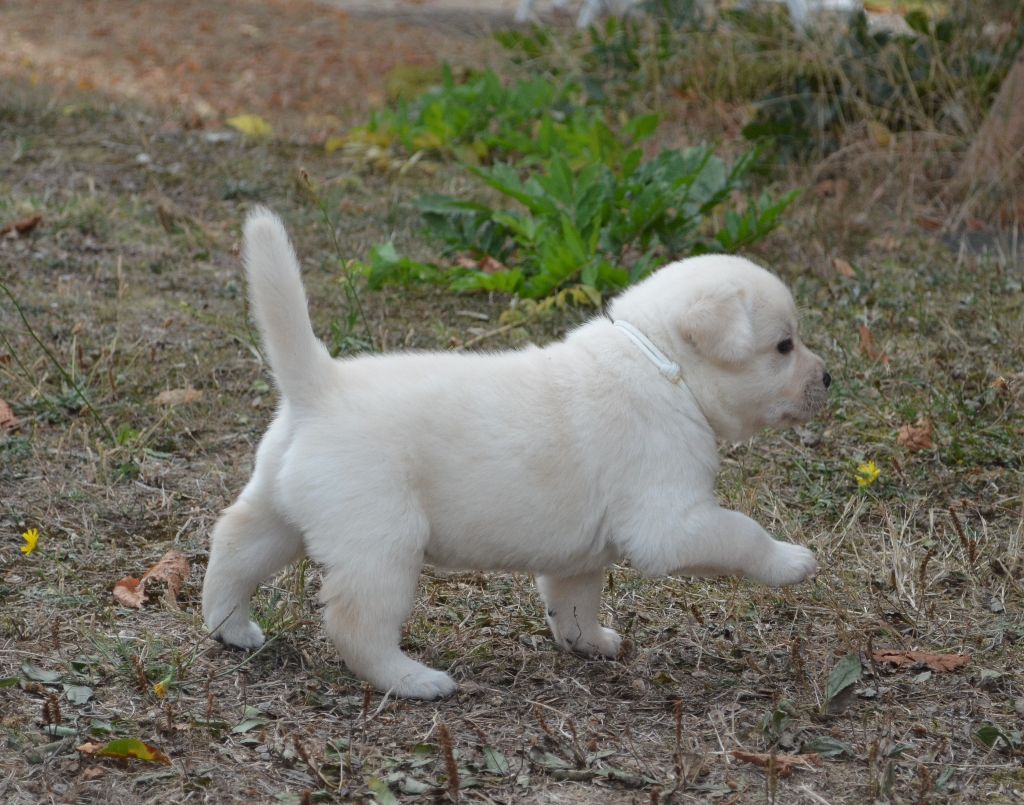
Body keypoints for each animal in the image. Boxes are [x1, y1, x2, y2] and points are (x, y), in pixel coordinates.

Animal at [201, 208, 830, 699]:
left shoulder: (581, 555)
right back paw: (414, 680)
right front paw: (791, 561)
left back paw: (229, 626)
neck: (662, 365)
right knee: (357, 623)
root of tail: (320, 386)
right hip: (381, 544)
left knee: (233, 546)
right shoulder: (671, 525)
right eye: (784, 345)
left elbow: (574, 604)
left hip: (281, 513)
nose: (829, 378)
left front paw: (588, 643)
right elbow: (742, 533)